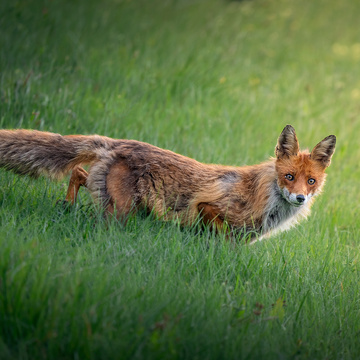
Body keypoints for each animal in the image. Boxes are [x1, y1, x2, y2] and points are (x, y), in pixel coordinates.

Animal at [0, 126, 334, 242]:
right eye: (289, 177)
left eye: (311, 181)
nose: (300, 198)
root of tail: (118, 142)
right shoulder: (206, 207)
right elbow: (220, 236)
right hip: (121, 211)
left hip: (109, 196)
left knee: (79, 173)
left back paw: (65, 206)